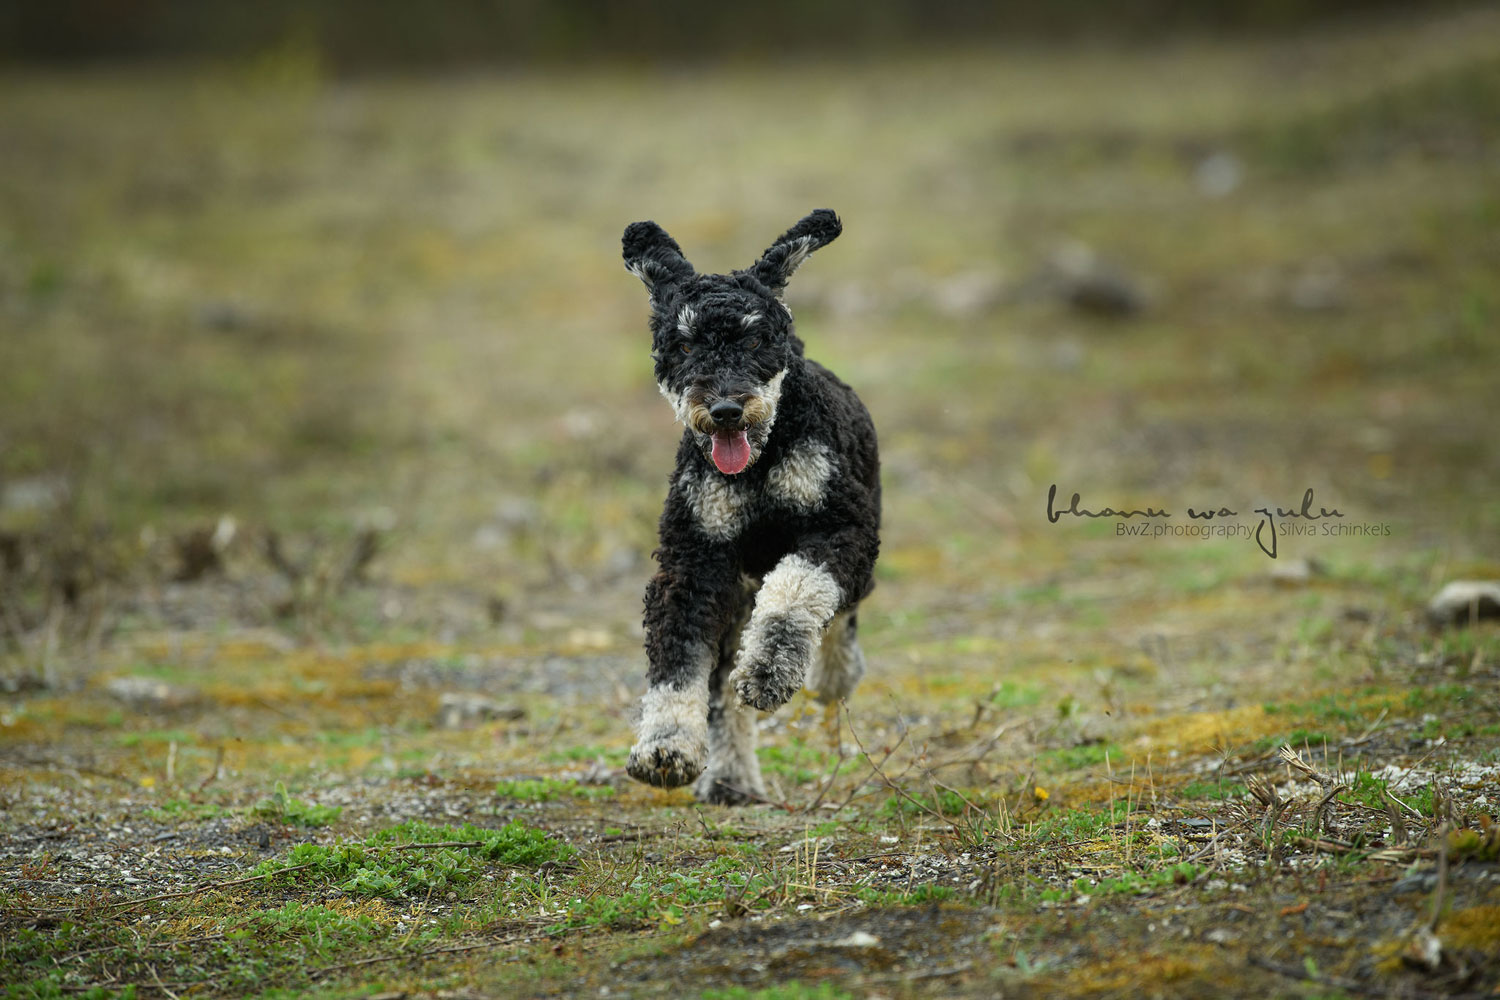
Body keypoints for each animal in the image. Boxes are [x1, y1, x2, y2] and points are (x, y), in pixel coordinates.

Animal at [618, 209, 876, 803]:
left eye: (757, 337)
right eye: (684, 347)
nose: (726, 410)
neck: (758, 465)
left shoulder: (842, 531)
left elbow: (797, 592)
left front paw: (769, 670)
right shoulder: (694, 563)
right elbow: (679, 658)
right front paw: (666, 746)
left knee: (841, 614)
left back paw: (831, 675)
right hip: (735, 596)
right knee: (720, 685)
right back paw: (731, 776)